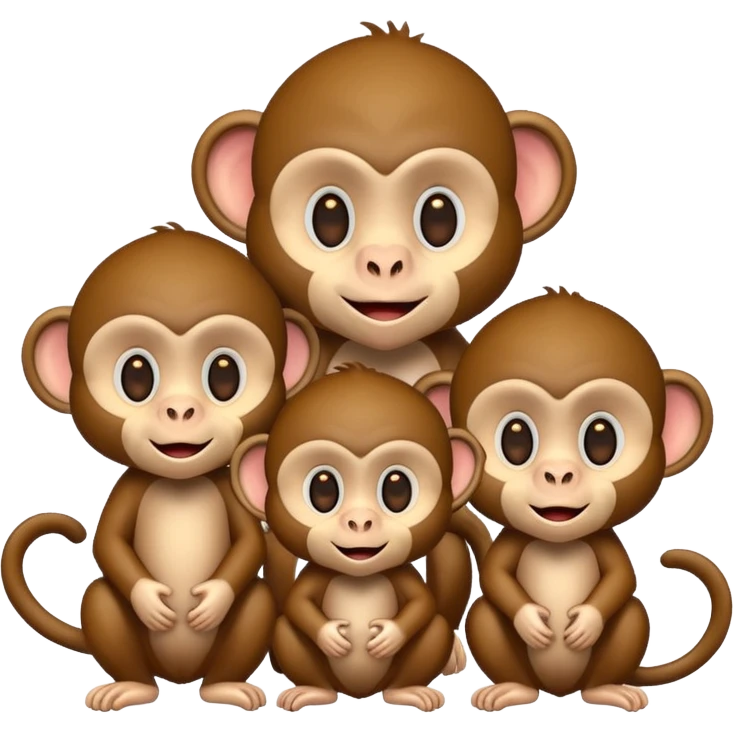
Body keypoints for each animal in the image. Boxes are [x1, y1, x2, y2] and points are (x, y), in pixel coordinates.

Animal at [2, 221, 321, 713]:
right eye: (136, 375)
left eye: (224, 374)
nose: (180, 410)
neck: (181, 481)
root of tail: (180, 679)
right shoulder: (131, 486)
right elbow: (109, 543)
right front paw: (153, 600)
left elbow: (250, 545)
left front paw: (210, 601)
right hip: (114, 622)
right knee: (102, 602)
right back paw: (131, 688)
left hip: (248, 618)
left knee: (254, 604)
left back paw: (225, 687)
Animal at [228, 363, 485, 712]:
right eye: (323, 488)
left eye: (397, 488)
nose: (360, 521)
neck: (359, 577)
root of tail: (359, 693)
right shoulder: (316, 574)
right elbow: (298, 603)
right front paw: (331, 635)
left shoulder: (402, 574)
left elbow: (422, 603)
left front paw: (387, 635)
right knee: (286, 630)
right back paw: (312, 692)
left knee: (432, 629)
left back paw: (408, 692)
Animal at [416, 287, 731, 712]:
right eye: (516, 438)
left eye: (601, 439)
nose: (558, 474)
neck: (557, 543)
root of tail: (561, 691)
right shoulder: (512, 541)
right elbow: (496, 578)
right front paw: (532, 621)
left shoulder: (603, 540)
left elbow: (621, 577)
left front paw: (584, 624)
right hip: (496, 637)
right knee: (484, 615)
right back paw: (511, 689)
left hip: (620, 637)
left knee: (630, 616)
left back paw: (607, 690)